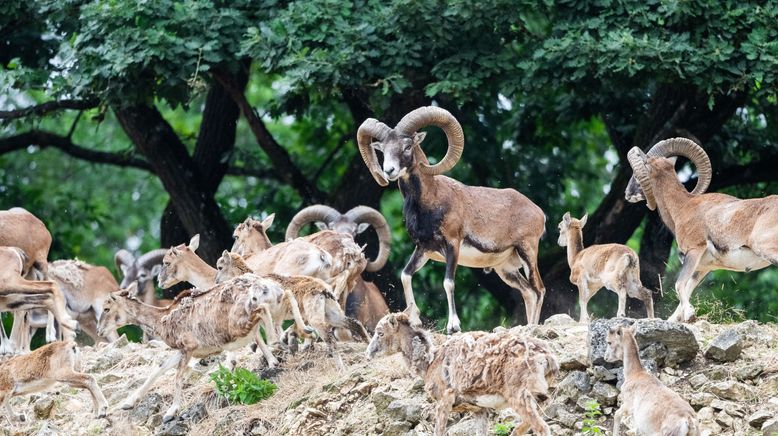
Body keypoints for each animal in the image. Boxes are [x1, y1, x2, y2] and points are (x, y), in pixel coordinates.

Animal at [366, 314, 556, 436]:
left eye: (380, 333)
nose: (368, 353)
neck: (430, 362)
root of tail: (548, 358)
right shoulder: (479, 410)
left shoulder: (444, 401)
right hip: (540, 396)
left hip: (520, 396)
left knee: (542, 428)